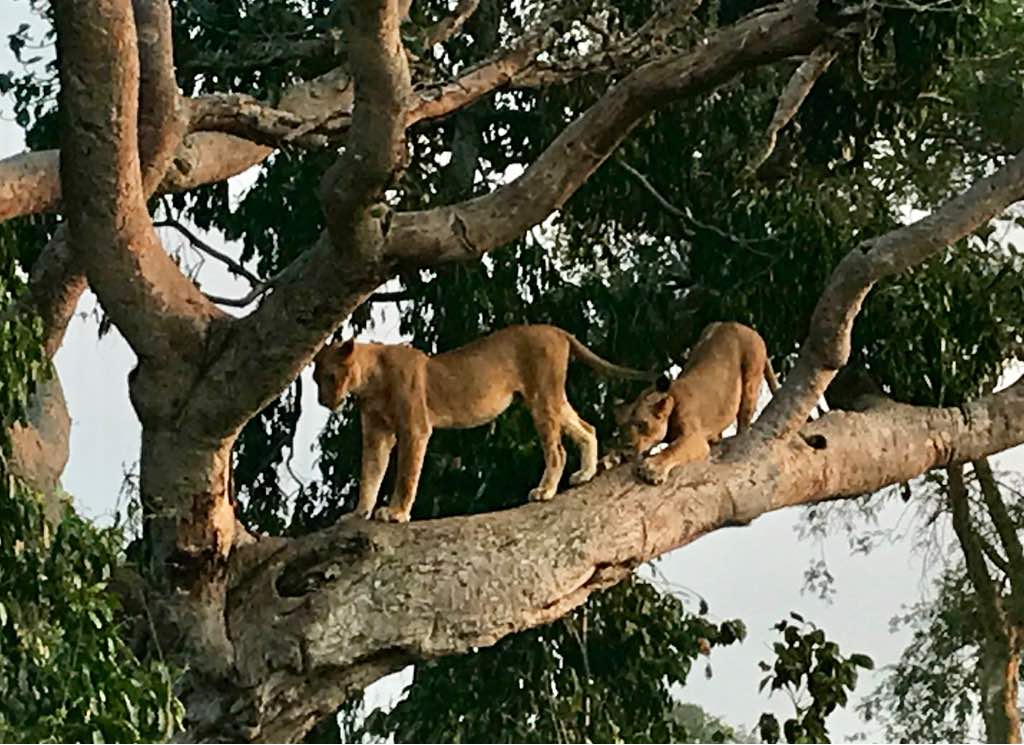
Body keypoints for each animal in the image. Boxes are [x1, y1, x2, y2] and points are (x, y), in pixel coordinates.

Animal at [312, 324, 653, 522]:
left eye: (330, 376)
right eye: (316, 379)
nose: (323, 402)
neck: (369, 380)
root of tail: (557, 330)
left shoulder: (414, 428)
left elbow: (406, 474)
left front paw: (395, 513)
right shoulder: (376, 432)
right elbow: (370, 472)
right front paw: (359, 513)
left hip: (541, 395)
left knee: (557, 450)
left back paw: (544, 491)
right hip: (552, 397)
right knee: (587, 428)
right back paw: (584, 474)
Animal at [610, 321, 779, 485]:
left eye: (641, 424)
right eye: (621, 427)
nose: (627, 447)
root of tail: (743, 326)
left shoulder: (695, 437)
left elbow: (673, 448)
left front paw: (652, 468)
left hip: (751, 374)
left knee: (745, 415)